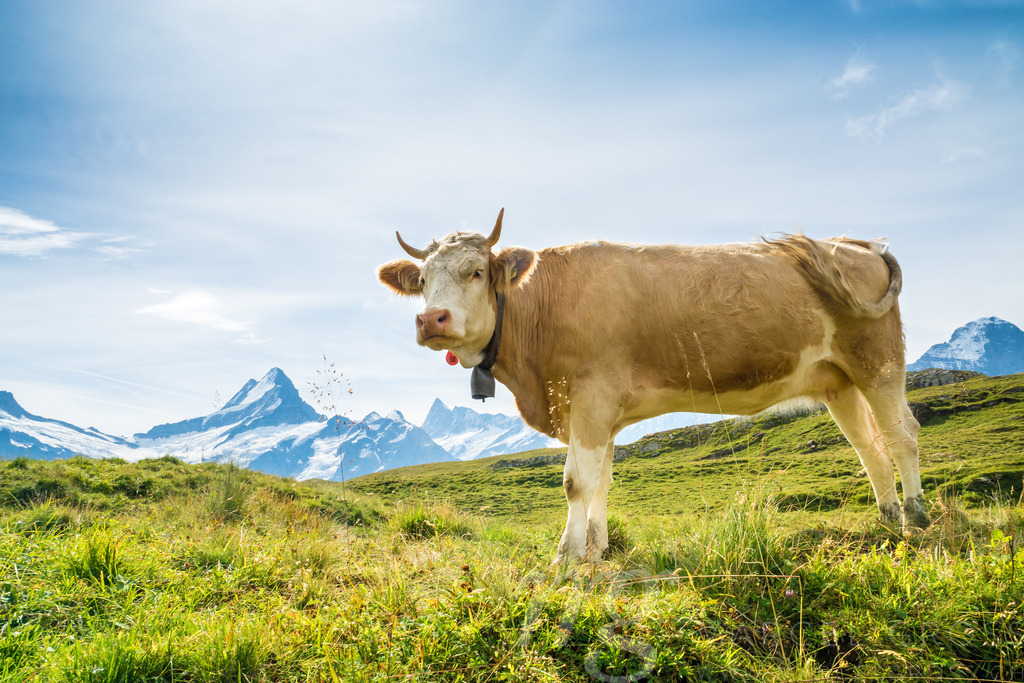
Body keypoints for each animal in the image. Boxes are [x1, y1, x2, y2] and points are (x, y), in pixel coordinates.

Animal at [377, 209, 930, 563]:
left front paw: (566, 558)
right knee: (869, 448)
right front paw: (597, 551)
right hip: (838, 381)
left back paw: (916, 521)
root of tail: (857, 243)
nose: (431, 319)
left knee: (902, 436)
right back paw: (885, 521)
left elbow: (575, 481)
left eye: (475, 271)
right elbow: (600, 480)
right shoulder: (600, 413)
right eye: (422, 280)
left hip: (879, 362)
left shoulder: (591, 398)